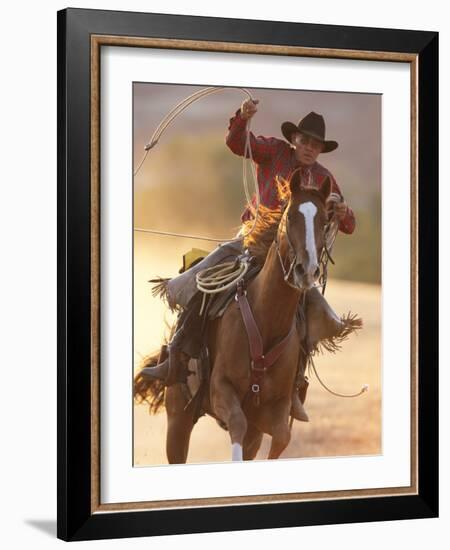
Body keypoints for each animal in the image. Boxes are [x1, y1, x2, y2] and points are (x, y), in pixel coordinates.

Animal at [134, 175, 330, 464]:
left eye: (325, 220)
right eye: (291, 216)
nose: (307, 270)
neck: (266, 321)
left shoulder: (275, 409)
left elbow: (282, 437)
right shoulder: (221, 390)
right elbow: (237, 422)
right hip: (178, 416)